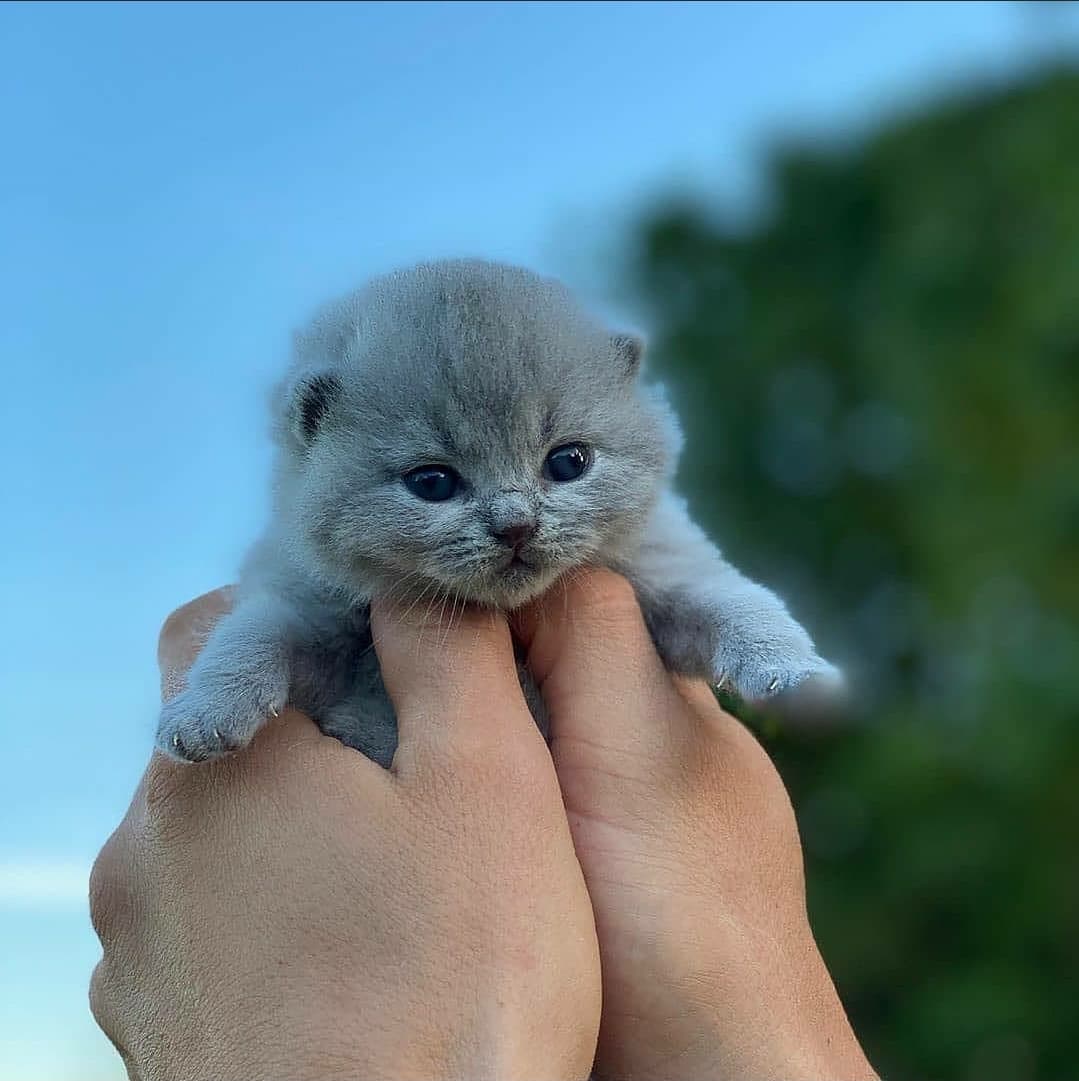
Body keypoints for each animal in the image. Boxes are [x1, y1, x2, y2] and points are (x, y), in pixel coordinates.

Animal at [157, 259, 843, 769]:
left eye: (568, 462)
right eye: (432, 482)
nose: (516, 526)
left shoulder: (666, 567)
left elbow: (741, 605)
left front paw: (798, 678)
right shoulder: (307, 601)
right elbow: (249, 634)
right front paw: (202, 714)